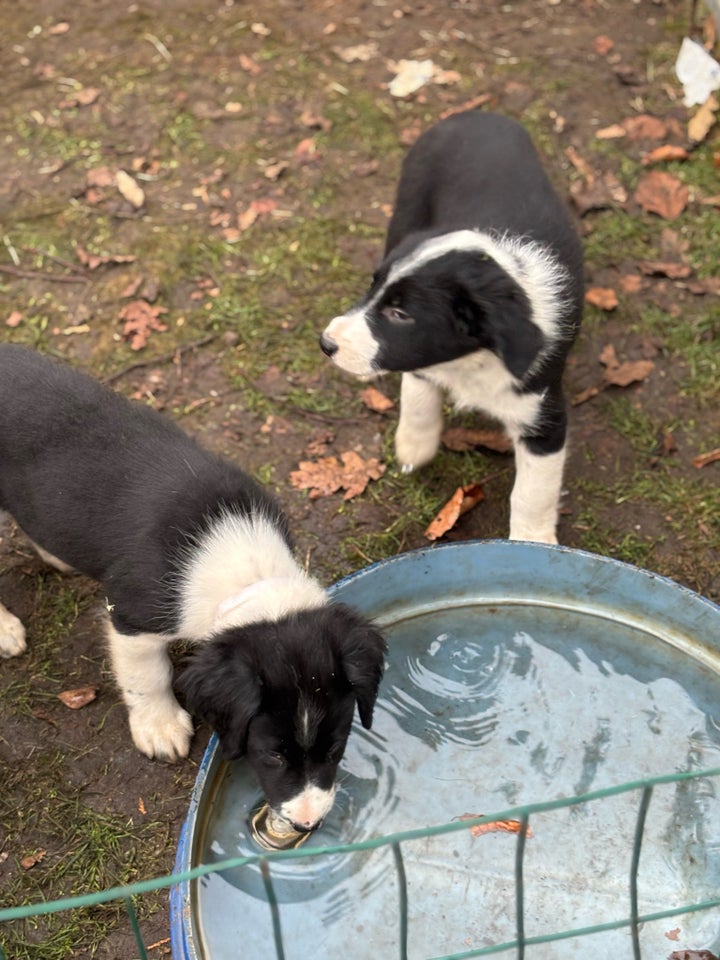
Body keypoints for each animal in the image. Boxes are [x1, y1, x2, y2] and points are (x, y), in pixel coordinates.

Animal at [0, 346, 386, 832]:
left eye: (335, 749)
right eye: (272, 756)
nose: (306, 825)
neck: (245, 569)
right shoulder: (133, 614)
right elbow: (147, 676)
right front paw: (160, 727)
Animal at [320, 109, 584, 544]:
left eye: (400, 314)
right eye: (373, 285)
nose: (326, 343)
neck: (473, 360)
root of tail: (479, 113)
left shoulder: (544, 412)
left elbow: (534, 490)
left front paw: (532, 541)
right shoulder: (423, 357)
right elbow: (418, 393)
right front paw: (414, 446)